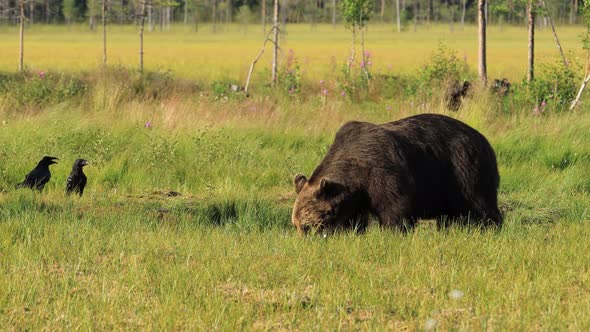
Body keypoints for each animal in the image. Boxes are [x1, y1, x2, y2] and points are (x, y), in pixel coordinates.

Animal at [292, 113, 504, 233]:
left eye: (307, 226)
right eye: (296, 225)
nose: (304, 238)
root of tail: (484, 139)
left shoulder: (383, 173)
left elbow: (395, 209)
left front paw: (393, 232)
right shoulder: (356, 197)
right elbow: (354, 218)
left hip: (463, 169)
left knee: (479, 204)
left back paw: (492, 227)